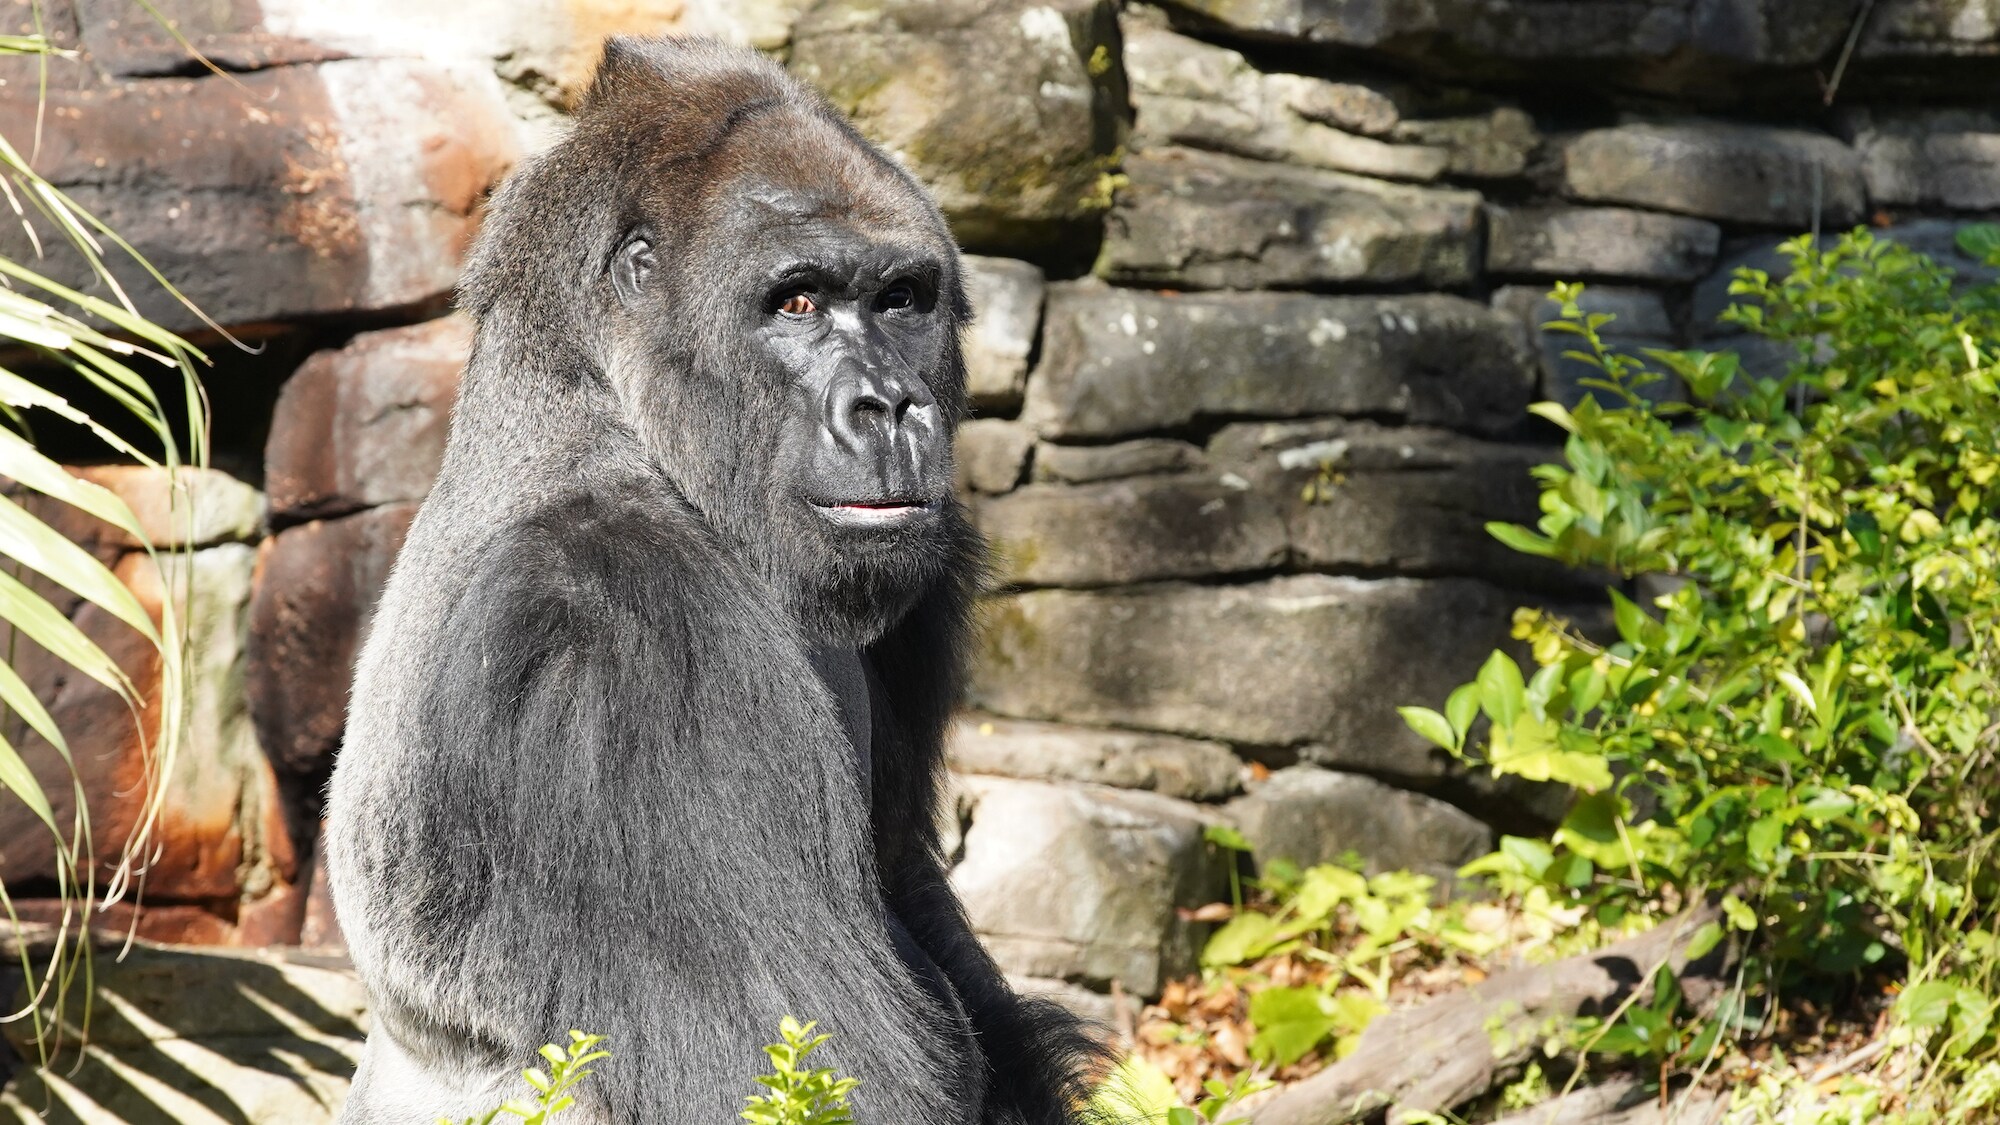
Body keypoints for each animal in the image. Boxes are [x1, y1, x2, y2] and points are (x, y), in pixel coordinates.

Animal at [332, 35, 1112, 1120]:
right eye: (796, 302)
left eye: (900, 300)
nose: (890, 406)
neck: (603, 409)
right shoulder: (629, 625)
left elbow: (910, 885)